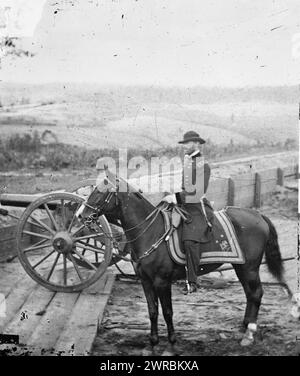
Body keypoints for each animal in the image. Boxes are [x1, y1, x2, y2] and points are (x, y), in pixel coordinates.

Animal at [77, 170, 296, 356]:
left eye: (101, 192)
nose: (80, 215)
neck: (151, 231)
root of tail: (257, 214)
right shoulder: (145, 281)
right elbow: (152, 311)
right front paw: (152, 344)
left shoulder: (162, 281)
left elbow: (167, 312)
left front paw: (171, 345)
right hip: (241, 267)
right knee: (250, 294)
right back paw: (244, 328)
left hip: (249, 268)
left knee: (256, 293)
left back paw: (249, 333)